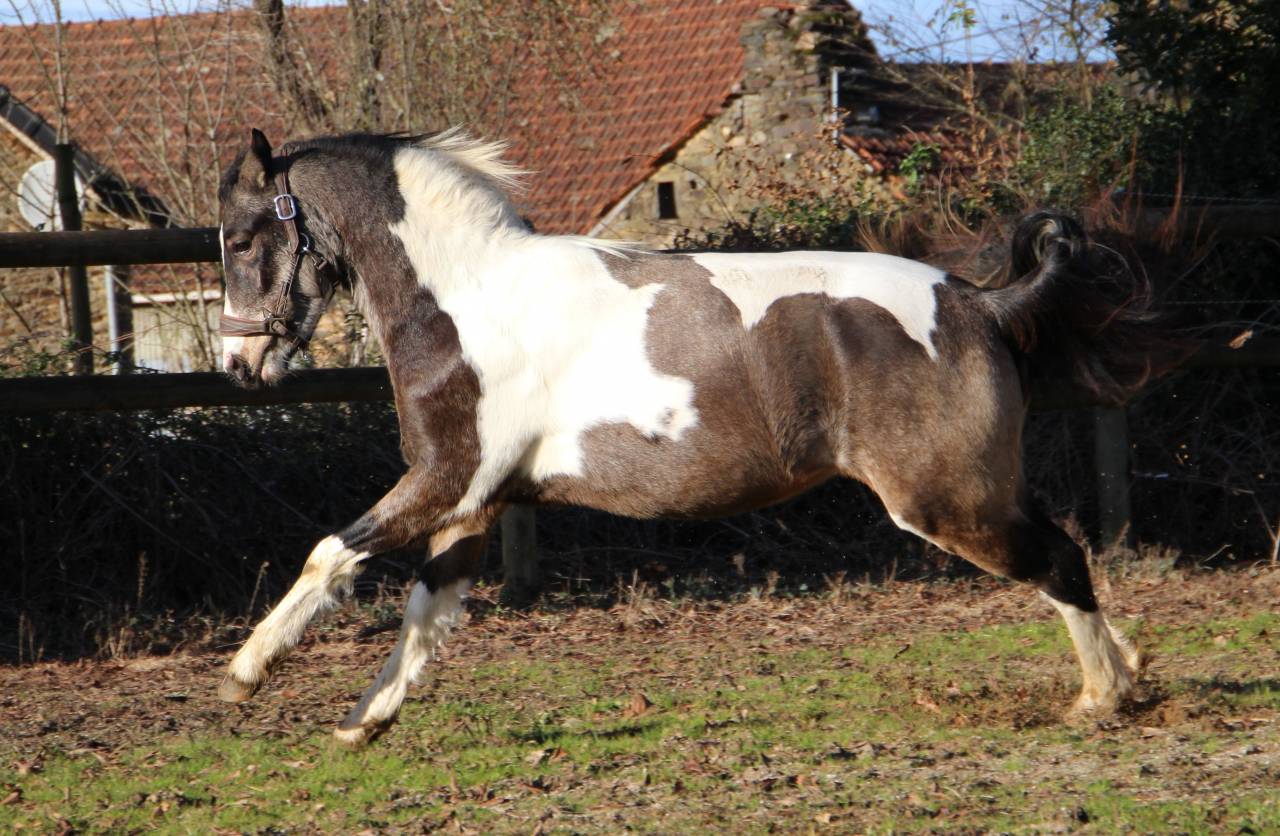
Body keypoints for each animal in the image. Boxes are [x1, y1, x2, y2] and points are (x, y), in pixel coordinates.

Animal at [216, 128, 1164, 747]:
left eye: (244, 236)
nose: (237, 362)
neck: (463, 301)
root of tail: (980, 303)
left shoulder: (446, 479)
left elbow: (331, 553)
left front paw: (246, 671)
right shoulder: (474, 503)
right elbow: (425, 611)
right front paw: (361, 722)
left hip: (946, 499)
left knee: (1060, 560)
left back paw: (1103, 696)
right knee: (1062, 556)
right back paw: (1128, 673)